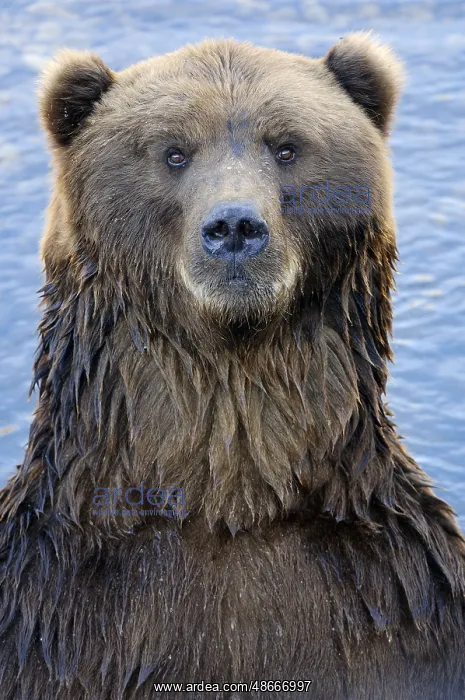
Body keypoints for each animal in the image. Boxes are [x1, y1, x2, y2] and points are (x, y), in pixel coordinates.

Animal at [0, 32, 464, 700]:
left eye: (287, 146)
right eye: (173, 152)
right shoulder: (50, 613)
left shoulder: (401, 607)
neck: (229, 500)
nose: (235, 227)